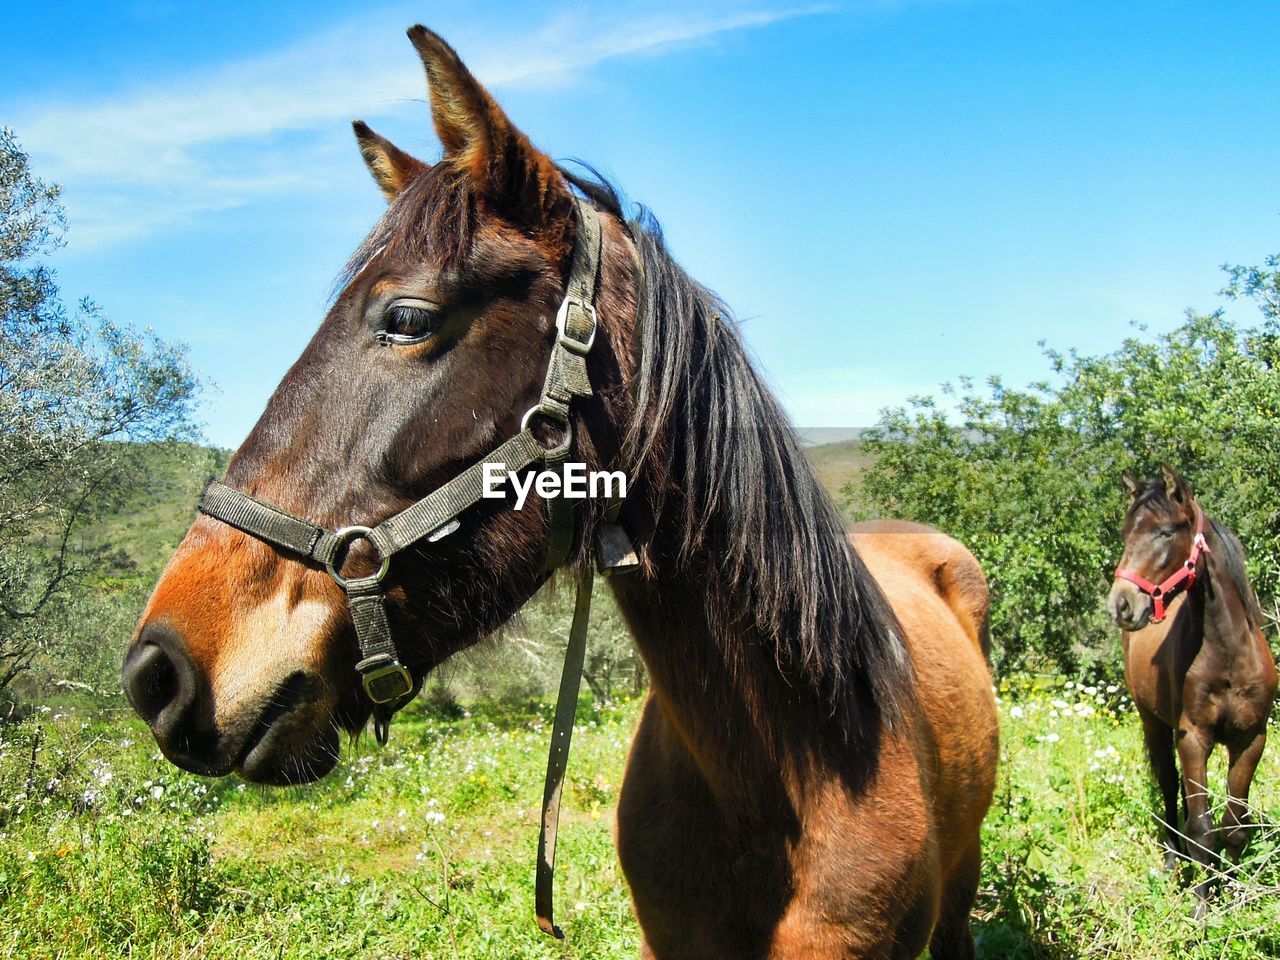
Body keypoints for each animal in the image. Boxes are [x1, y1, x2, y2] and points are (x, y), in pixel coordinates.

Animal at [1105, 465, 1274, 911]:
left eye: (1166, 532)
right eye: (1126, 533)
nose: (1120, 605)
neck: (1228, 651)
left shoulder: (1251, 738)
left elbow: (1234, 824)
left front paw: (1232, 893)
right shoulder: (1193, 736)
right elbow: (1202, 828)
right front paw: (1200, 905)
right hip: (1154, 723)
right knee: (1168, 785)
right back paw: (1171, 859)